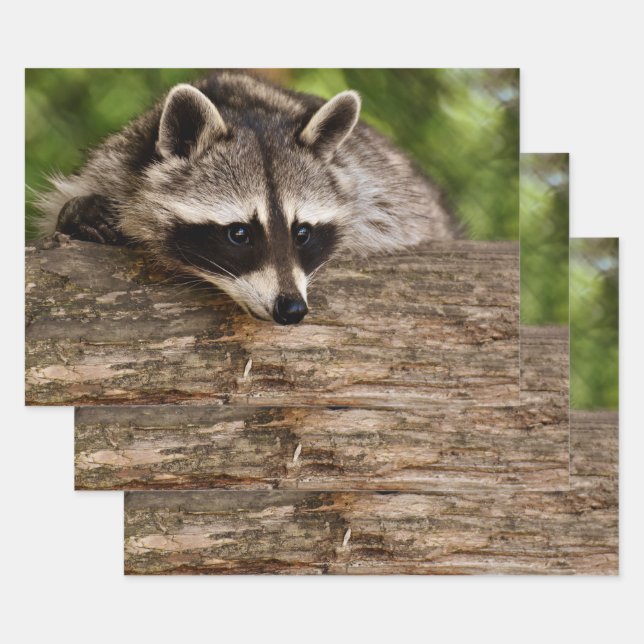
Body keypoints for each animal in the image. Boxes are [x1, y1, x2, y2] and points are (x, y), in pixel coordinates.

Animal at [35, 70, 457, 324]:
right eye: (239, 234)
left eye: (302, 233)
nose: (292, 309)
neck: (244, 108)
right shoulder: (115, 163)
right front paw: (79, 214)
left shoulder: (379, 190)